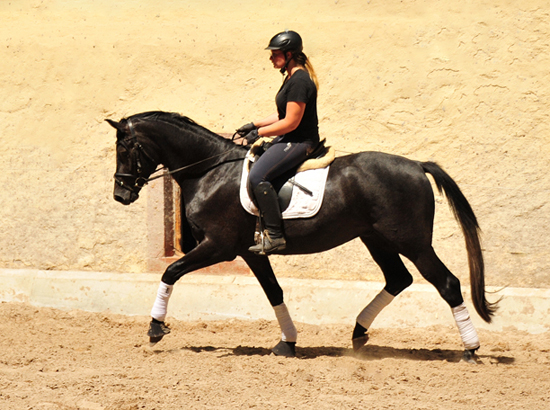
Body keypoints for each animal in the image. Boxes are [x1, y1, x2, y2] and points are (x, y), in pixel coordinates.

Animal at [108, 110, 500, 360]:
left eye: (124, 148)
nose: (120, 195)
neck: (210, 171)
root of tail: (417, 165)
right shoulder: (250, 252)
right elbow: (274, 292)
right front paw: (287, 343)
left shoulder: (219, 246)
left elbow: (170, 271)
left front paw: (155, 328)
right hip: (377, 239)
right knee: (398, 279)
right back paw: (359, 332)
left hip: (412, 242)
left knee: (446, 283)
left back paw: (470, 349)